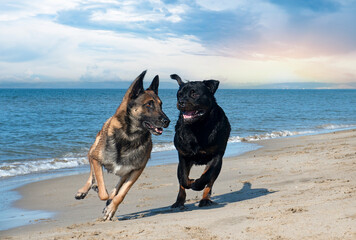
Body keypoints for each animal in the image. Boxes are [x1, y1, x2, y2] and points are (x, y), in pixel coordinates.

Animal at [170, 73, 231, 208]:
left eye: (194, 94)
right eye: (179, 94)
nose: (181, 102)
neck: (197, 127)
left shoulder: (217, 156)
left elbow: (206, 176)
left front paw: (197, 184)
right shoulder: (183, 156)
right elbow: (183, 178)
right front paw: (190, 181)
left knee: (210, 183)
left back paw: (205, 199)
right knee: (181, 183)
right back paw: (179, 202)